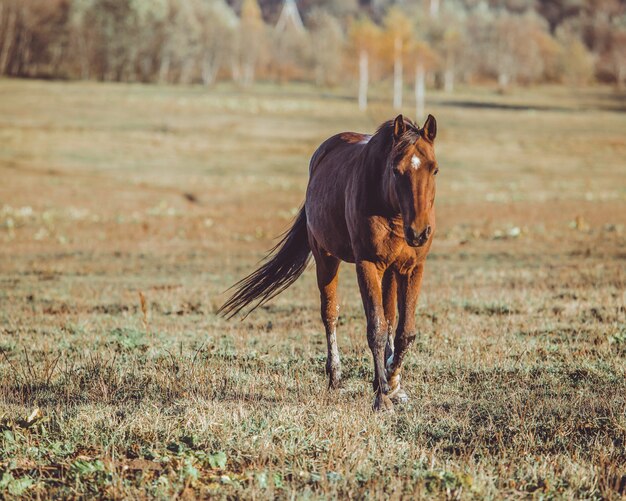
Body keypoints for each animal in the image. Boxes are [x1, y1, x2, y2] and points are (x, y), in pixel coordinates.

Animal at [219, 114, 438, 410]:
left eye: (434, 170)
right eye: (395, 170)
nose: (418, 232)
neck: (391, 209)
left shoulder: (412, 268)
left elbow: (404, 332)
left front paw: (392, 384)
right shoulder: (367, 264)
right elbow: (376, 329)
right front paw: (382, 398)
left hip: (389, 271)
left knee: (390, 317)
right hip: (326, 258)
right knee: (330, 314)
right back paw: (335, 377)